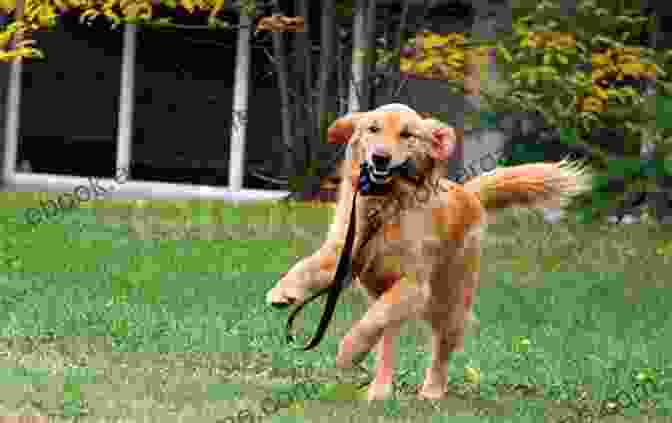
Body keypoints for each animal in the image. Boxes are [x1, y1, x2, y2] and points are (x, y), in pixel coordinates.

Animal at [266, 105, 592, 400]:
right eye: (372, 129)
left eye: (407, 134)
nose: (380, 157)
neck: (385, 205)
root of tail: (469, 194)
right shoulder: (344, 253)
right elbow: (306, 266)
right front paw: (283, 291)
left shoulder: (414, 284)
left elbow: (372, 320)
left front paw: (349, 351)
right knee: (387, 338)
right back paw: (380, 391)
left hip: (448, 300)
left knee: (438, 346)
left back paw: (432, 390)